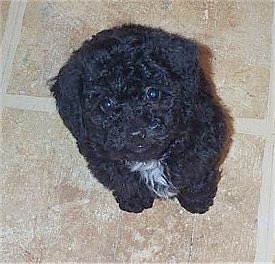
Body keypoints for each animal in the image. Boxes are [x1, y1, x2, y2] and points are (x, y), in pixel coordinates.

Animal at [50, 24, 230, 213]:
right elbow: (125, 183)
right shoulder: (102, 159)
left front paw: (197, 203)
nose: (136, 134)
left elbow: (197, 177)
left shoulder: (203, 147)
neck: (149, 161)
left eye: (153, 93)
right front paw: (134, 202)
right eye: (106, 103)